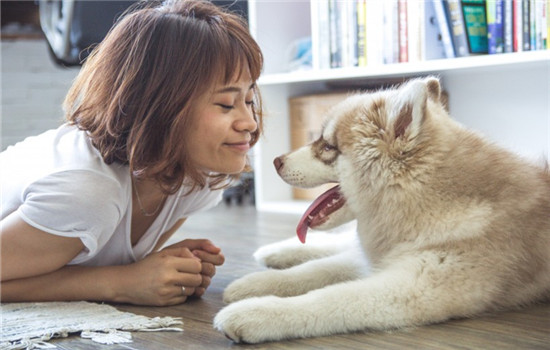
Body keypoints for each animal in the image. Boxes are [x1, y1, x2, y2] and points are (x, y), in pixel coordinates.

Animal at [213, 77, 548, 344]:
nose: (275, 161)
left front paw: (256, 312)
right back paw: (274, 252)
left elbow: (330, 298)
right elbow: (312, 271)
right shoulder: (381, 259)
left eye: (327, 147)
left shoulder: (413, 286)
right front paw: (253, 285)